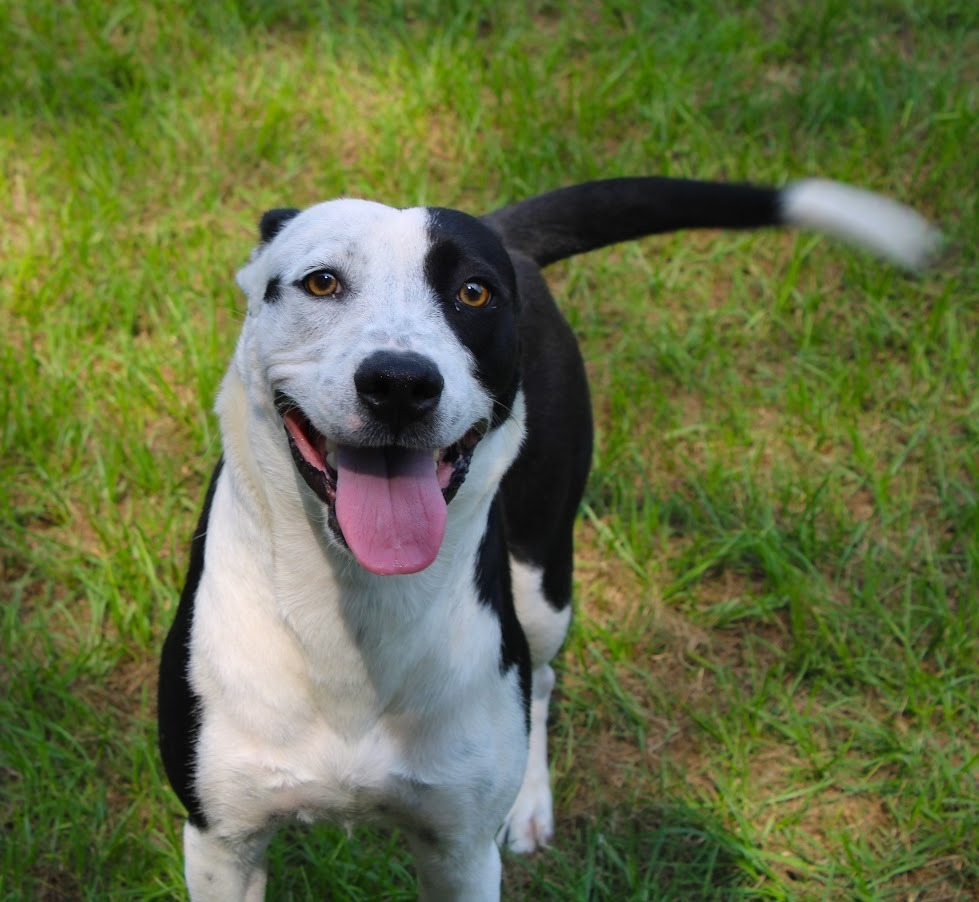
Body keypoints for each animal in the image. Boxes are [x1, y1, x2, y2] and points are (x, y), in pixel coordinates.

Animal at [157, 175, 936, 896]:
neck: (354, 611)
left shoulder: (459, 854)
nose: (401, 382)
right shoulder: (222, 842)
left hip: (539, 580)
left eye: (474, 294)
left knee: (542, 674)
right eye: (321, 281)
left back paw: (528, 800)